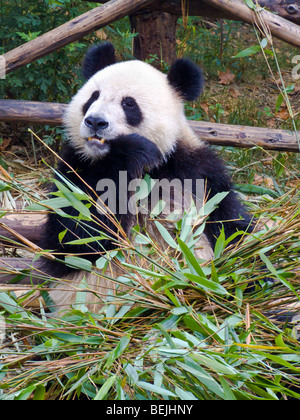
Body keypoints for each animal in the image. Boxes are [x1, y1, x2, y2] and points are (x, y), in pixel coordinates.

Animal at [38, 43, 252, 312]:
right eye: (93, 97)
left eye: (129, 104)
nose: (95, 122)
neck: (149, 171)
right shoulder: (74, 169)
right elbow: (76, 238)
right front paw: (130, 150)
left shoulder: (195, 170)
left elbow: (229, 224)